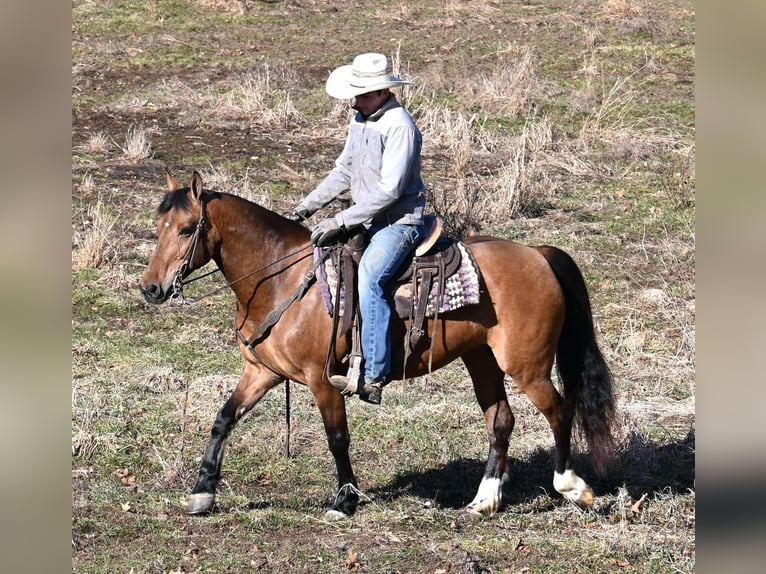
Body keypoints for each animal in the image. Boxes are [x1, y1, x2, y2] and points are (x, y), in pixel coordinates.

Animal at [138, 170, 616, 519]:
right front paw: (202, 493)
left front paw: (345, 500)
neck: (281, 281)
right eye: (158, 227)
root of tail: (537, 254)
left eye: (187, 230)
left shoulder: (323, 380)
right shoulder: (262, 372)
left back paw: (571, 487)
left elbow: (337, 438)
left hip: (527, 366)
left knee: (560, 411)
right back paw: (485, 501)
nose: (151, 288)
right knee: (501, 420)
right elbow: (223, 420)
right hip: (482, 359)